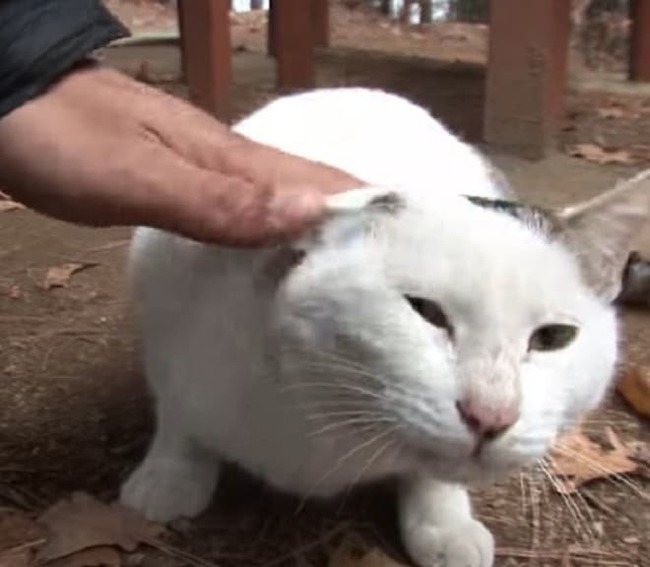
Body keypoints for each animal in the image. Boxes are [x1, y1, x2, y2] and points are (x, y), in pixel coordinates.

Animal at [120, 87, 648, 567]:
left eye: (553, 338)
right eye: (427, 311)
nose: (491, 416)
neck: (327, 416)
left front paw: (444, 521)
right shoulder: (167, 284)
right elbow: (178, 410)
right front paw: (170, 474)